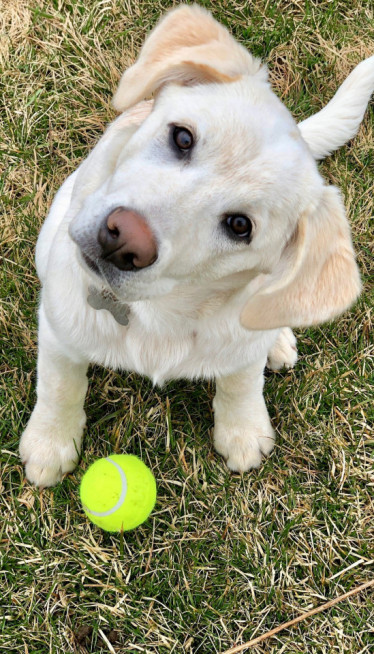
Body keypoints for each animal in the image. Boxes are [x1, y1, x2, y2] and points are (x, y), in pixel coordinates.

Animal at [20, 5, 374, 486]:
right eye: (182, 137)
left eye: (240, 226)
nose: (123, 239)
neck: (160, 313)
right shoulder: (60, 329)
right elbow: (60, 385)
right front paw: (50, 443)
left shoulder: (241, 348)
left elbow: (241, 382)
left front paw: (244, 431)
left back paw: (278, 340)